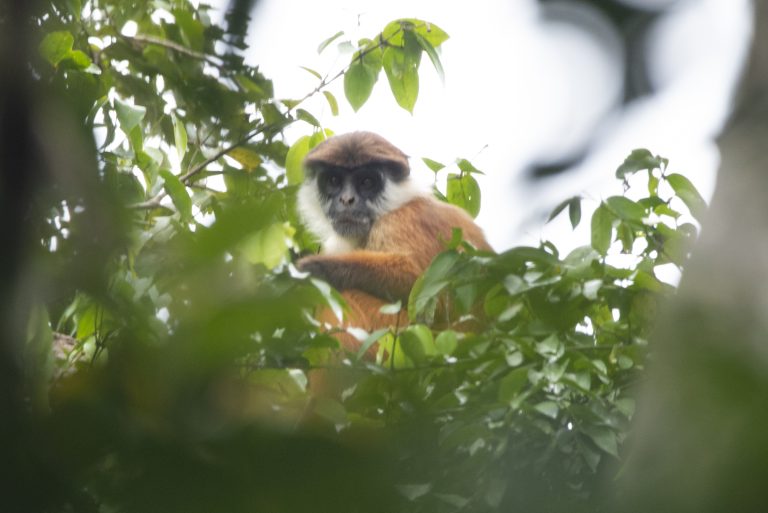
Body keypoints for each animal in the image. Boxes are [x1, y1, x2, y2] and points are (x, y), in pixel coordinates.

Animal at [294, 132, 492, 356]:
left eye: (367, 182)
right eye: (334, 180)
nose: (347, 199)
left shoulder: (399, 222)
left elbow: (419, 287)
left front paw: (309, 269)